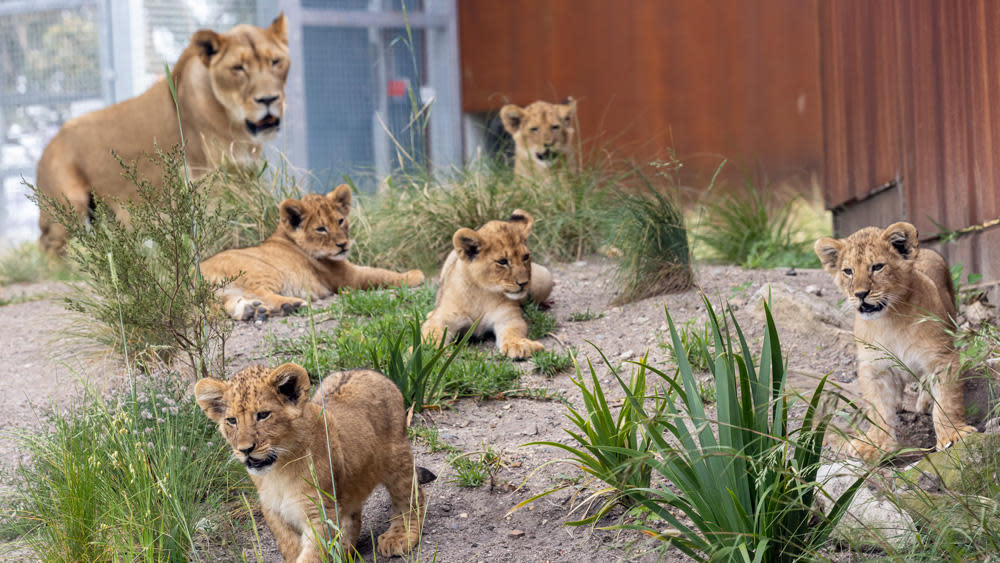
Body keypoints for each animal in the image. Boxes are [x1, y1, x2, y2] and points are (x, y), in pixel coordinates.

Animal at [35, 13, 292, 256]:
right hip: (66, 208)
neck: (233, 121)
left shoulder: (244, 173)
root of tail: (47, 147)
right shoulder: (211, 178)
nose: (268, 99)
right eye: (238, 68)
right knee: (49, 247)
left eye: (275, 62)